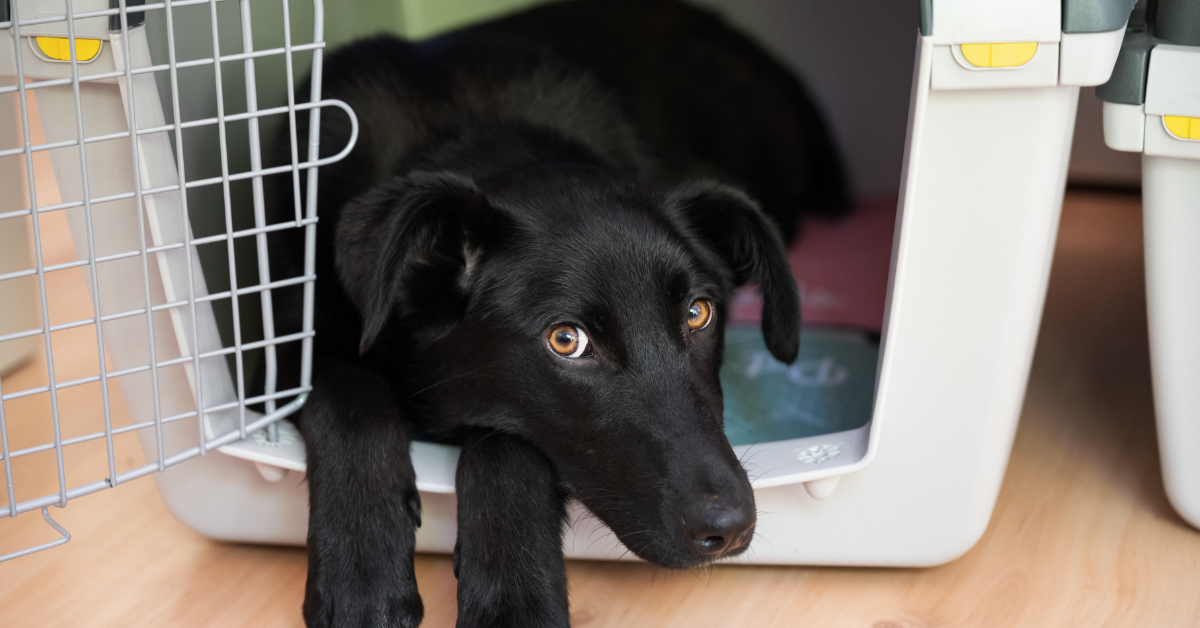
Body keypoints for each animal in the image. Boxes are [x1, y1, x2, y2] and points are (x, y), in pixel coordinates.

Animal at [265, 2, 844, 624]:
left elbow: (507, 444)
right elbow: (349, 395)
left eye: (697, 313)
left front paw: (514, 599)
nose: (730, 528)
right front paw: (362, 571)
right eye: (566, 340)